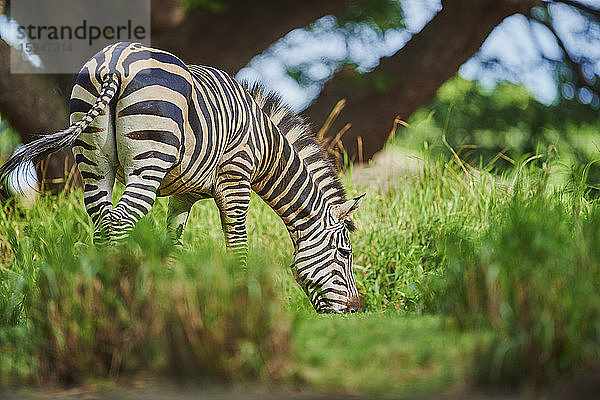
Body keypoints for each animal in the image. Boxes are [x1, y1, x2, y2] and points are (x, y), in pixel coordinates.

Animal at [0, 42, 366, 314]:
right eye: (345, 253)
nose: (355, 310)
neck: (267, 148)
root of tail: (116, 58)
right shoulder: (235, 179)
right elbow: (238, 246)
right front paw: (242, 304)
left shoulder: (183, 195)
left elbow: (172, 246)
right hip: (148, 161)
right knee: (120, 221)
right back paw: (115, 296)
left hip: (93, 165)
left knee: (103, 220)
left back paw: (97, 293)